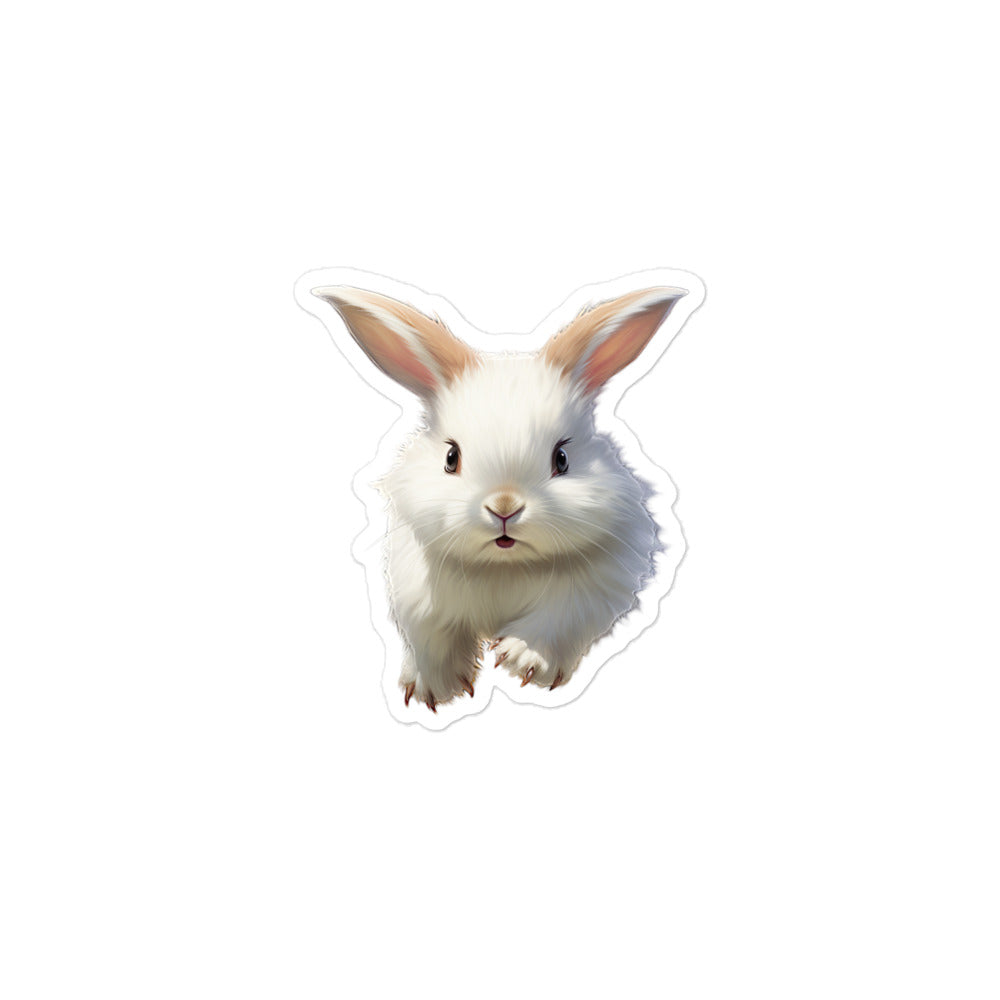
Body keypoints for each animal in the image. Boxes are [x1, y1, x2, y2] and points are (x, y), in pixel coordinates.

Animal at [312, 281, 687, 711]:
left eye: (562, 459)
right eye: (451, 457)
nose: (504, 507)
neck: (505, 565)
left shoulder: (594, 588)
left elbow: (558, 619)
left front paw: (523, 660)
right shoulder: (417, 592)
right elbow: (431, 638)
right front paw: (435, 690)